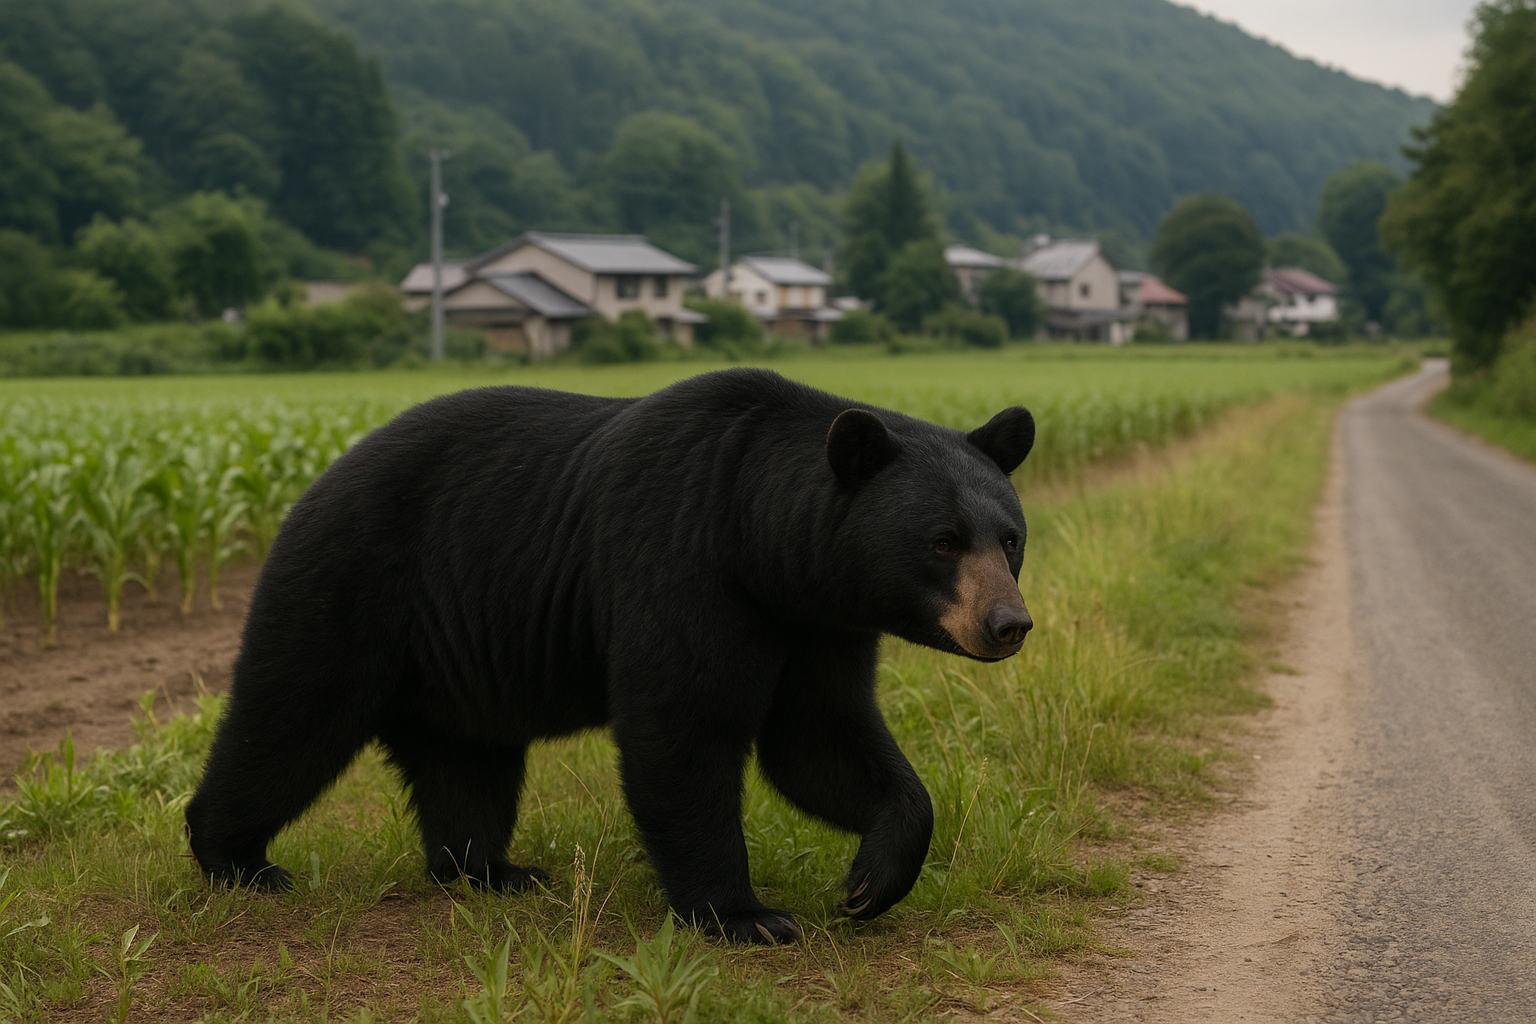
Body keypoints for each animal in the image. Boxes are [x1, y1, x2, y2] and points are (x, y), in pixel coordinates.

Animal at [185, 367, 1035, 944]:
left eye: (1009, 538)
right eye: (942, 540)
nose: (1008, 623)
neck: (758, 541)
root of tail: (315, 481)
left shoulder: (816, 625)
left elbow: (822, 738)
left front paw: (869, 882)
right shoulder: (681, 564)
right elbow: (685, 729)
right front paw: (745, 915)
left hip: (456, 660)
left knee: (467, 760)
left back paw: (492, 869)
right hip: (351, 585)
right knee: (290, 716)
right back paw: (239, 857)